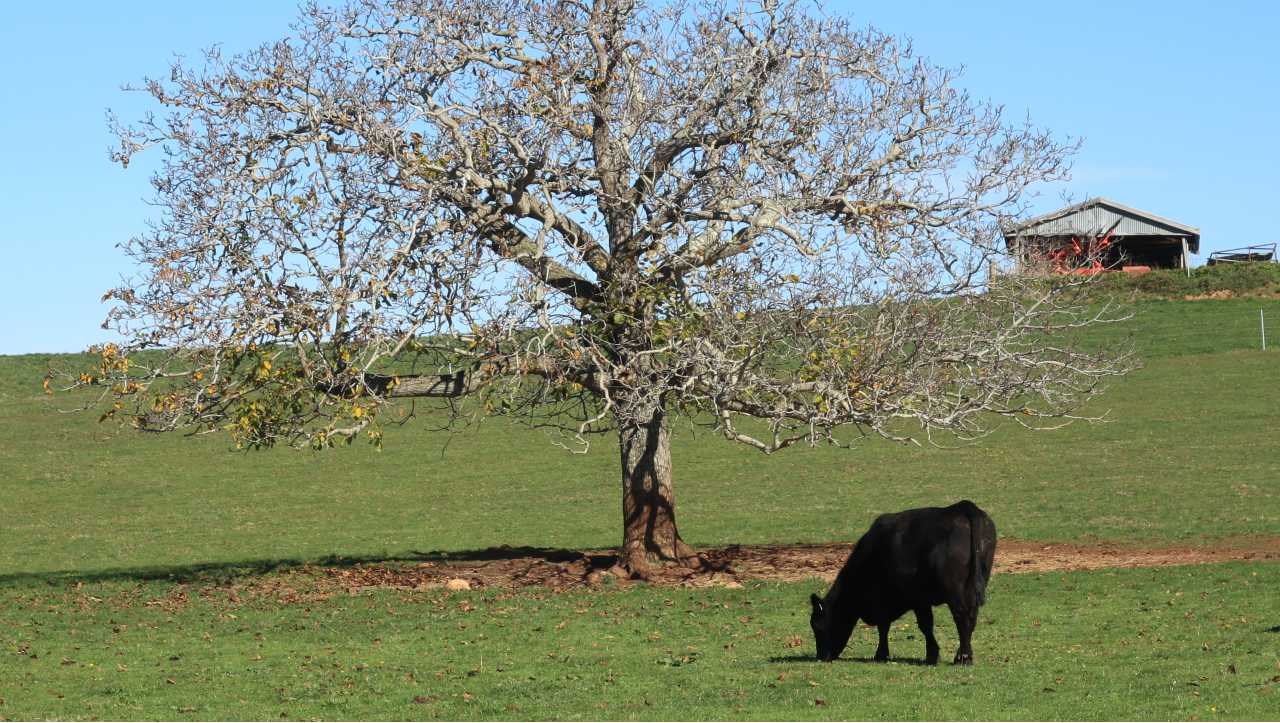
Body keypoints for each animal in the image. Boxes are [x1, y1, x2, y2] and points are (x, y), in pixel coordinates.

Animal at [808, 500, 997, 665]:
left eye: (817, 626)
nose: (821, 657)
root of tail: (963, 507)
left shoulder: (912, 599)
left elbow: (912, 625)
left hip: (954, 590)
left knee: (962, 617)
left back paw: (963, 658)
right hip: (975, 585)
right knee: (971, 617)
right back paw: (963, 655)